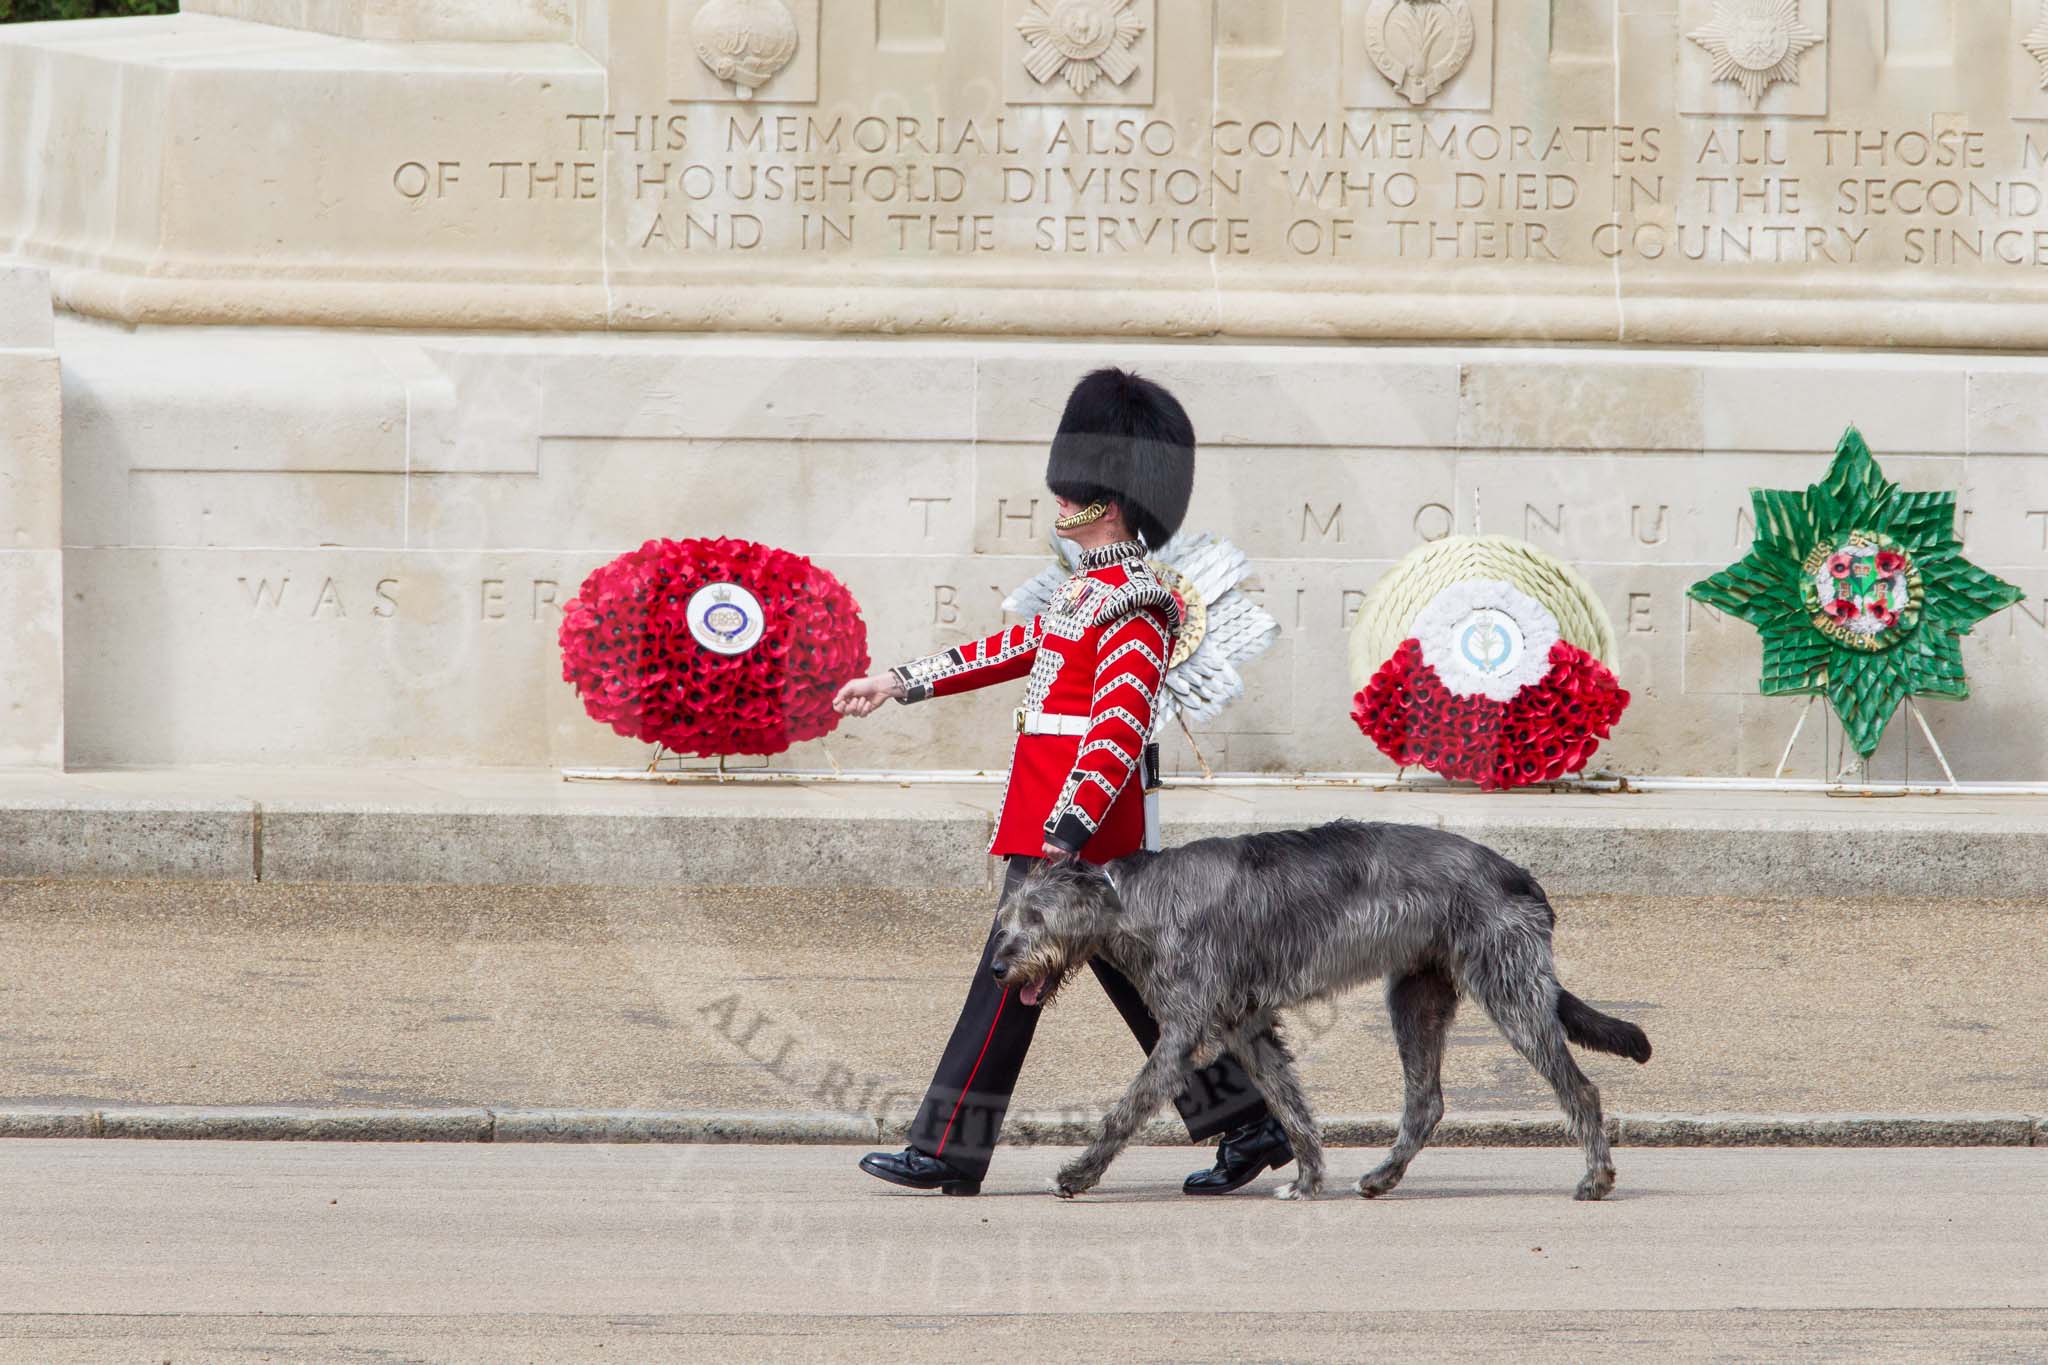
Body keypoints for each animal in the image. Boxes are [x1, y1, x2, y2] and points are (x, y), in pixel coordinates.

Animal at [999, 818, 1654, 1203]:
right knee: (1426, 1103)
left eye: (1037, 917)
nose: (1000, 969)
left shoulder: (1187, 1027)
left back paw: (1596, 1178)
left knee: (1580, 1088)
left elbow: (1129, 1105)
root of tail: (1519, 875)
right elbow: (1289, 1105)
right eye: (1007, 919)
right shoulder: (1247, 1025)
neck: (1130, 901)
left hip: (1508, 986)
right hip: (1417, 995)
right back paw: (1383, 1176)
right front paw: (1309, 1178)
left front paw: (1077, 1175)